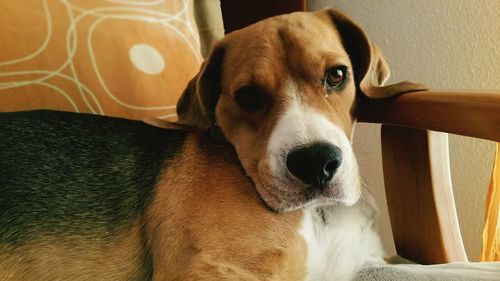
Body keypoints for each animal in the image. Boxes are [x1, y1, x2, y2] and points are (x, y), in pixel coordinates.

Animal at [0, 8, 426, 280]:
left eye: (337, 75)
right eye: (248, 97)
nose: (315, 162)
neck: (318, 215)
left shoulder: (367, 263)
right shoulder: (203, 270)